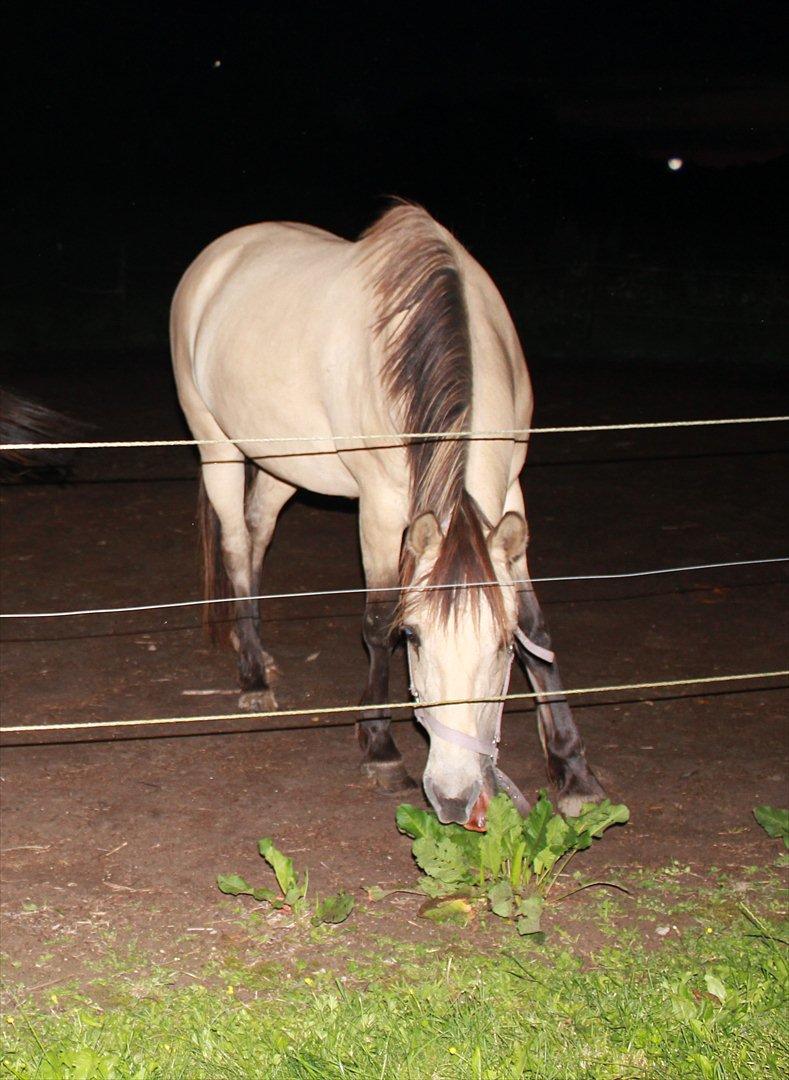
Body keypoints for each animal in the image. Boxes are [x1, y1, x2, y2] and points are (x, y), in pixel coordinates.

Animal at [172, 203, 604, 825]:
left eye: (501, 646)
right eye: (416, 638)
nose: (453, 796)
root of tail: (219, 256)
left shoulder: (510, 494)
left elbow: (536, 625)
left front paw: (573, 770)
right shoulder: (379, 506)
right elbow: (377, 621)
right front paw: (379, 746)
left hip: (284, 463)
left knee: (256, 534)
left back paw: (253, 648)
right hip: (217, 446)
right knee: (234, 543)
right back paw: (252, 676)